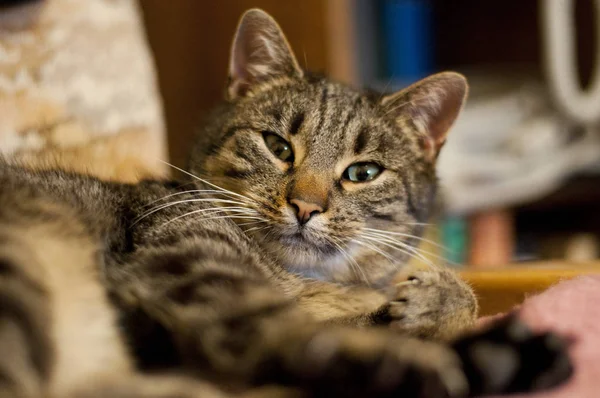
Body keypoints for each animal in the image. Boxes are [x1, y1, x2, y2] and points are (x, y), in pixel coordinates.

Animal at [0, 7, 572, 398]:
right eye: (278, 146)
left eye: (363, 172)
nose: (305, 207)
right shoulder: (191, 257)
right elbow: (283, 333)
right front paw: (437, 311)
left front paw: (432, 303)